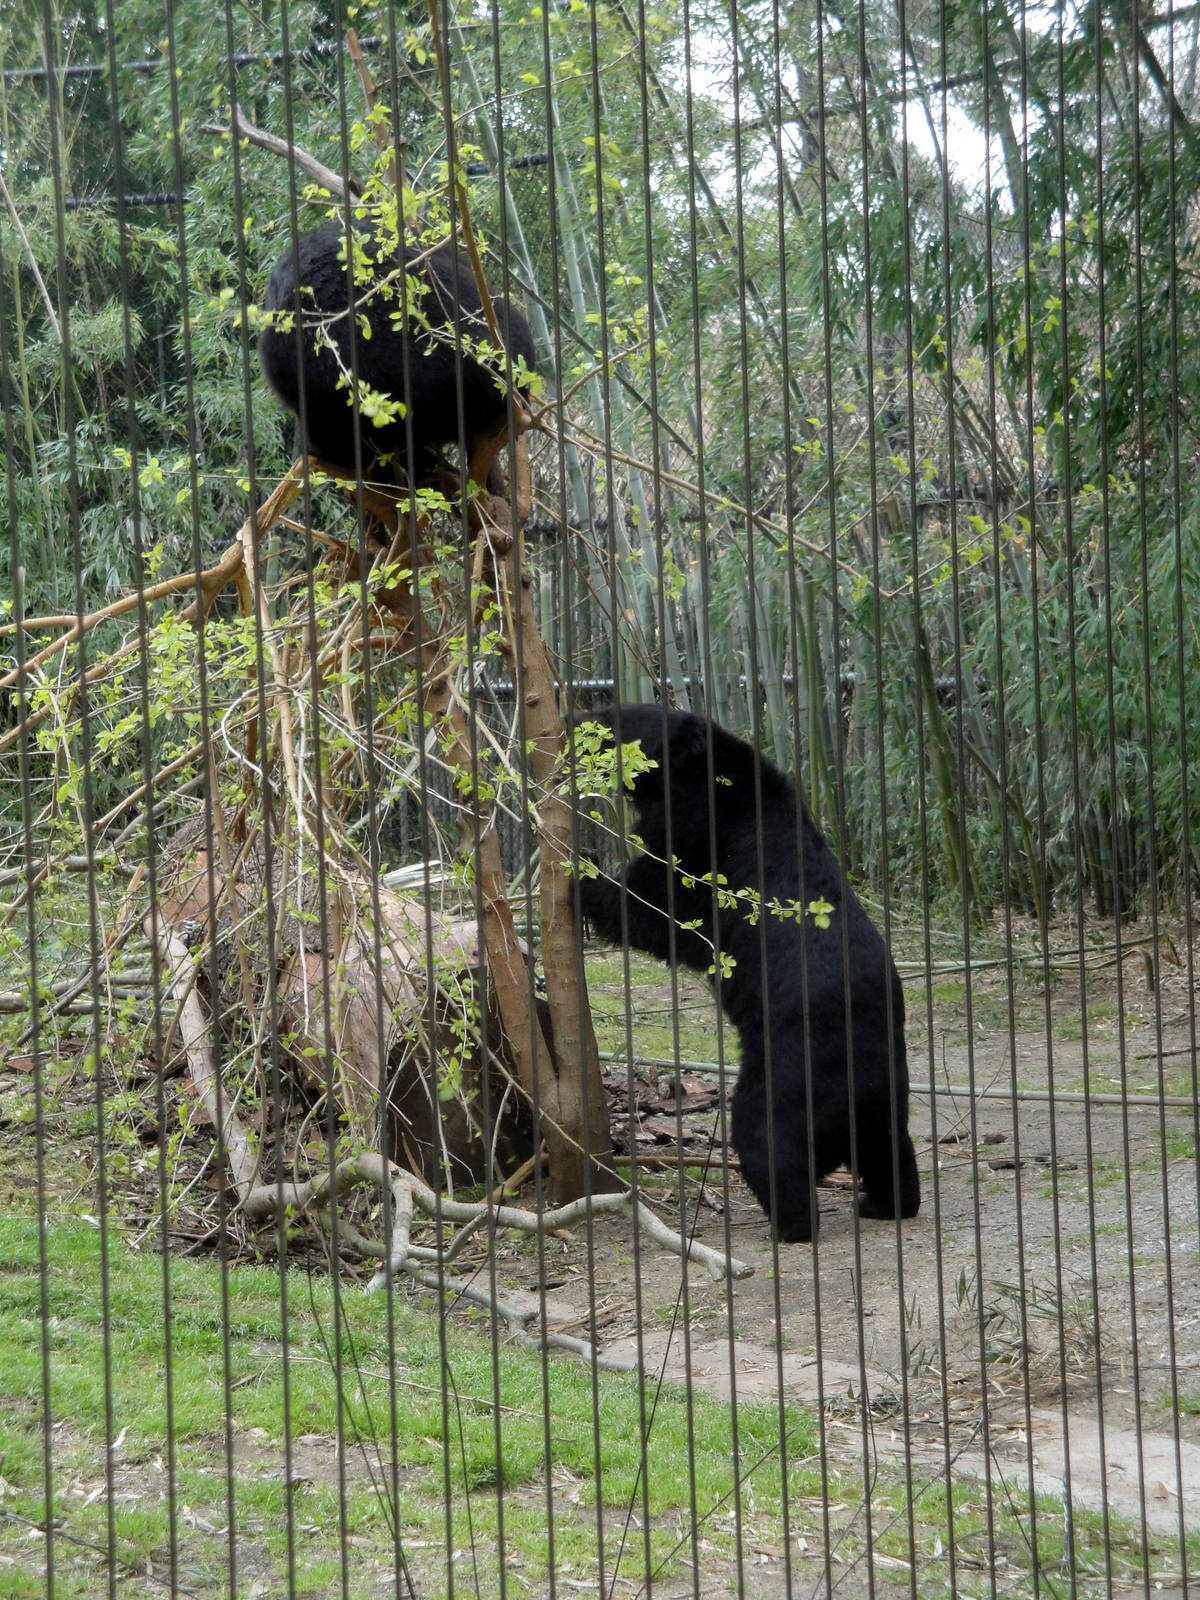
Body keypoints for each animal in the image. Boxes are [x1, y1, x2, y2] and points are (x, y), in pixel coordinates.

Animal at [574, 704, 920, 1242]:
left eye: (618, 718)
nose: (576, 720)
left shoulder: (701, 832)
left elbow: (656, 904)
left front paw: (580, 866)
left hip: (788, 1077)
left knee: (766, 1139)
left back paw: (790, 1223)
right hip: (887, 1097)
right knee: (891, 1152)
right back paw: (884, 1203)